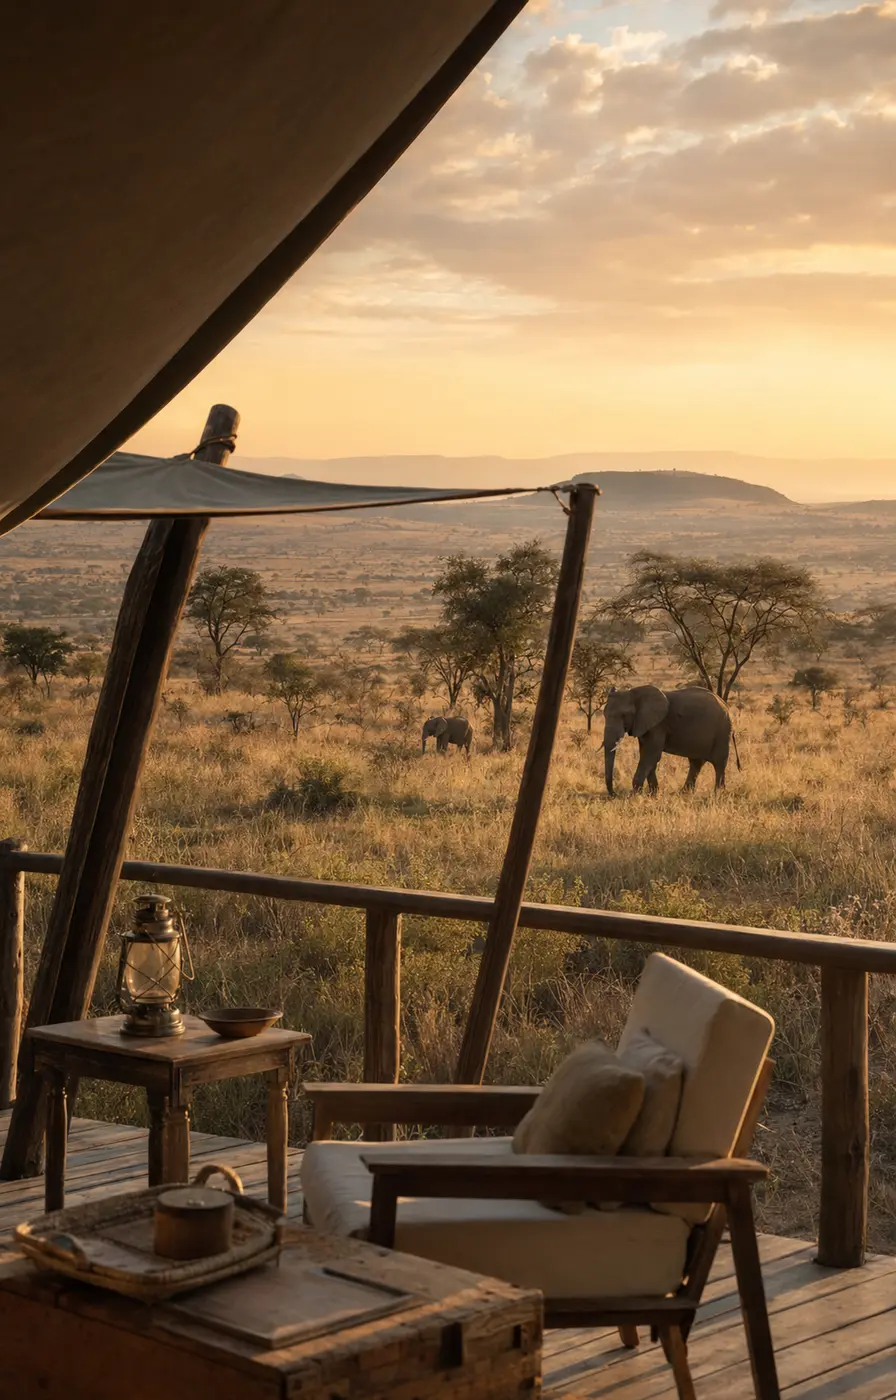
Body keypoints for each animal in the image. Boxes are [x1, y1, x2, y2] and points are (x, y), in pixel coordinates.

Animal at [602, 684, 737, 795]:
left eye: (624, 715)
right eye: (604, 714)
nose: (614, 794)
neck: (634, 693)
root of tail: (725, 705)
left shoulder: (658, 725)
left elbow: (651, 755)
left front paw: (635, 795)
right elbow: (647, 755)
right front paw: (653, 794)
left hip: (723, 732)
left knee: (719, 763)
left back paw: (718, 793)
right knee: (696, 763)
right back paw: (685, 793)